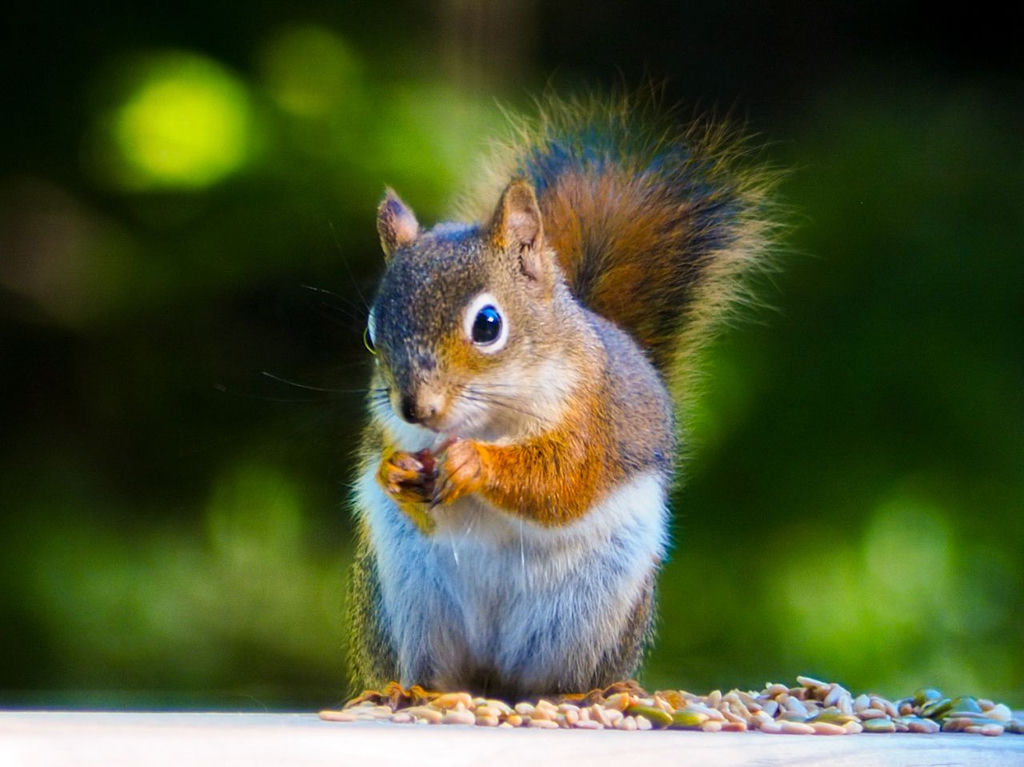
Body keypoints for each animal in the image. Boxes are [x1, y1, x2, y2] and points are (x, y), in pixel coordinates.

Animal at [346, 93, 778, 701]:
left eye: (488, 324)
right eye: (370, 335)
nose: (417, 409)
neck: (489, 419)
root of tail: (493, 681)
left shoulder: (591, 418)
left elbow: (563, 481)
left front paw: (472, 464)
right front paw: (394, 472)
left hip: (591, 610)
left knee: (556, 674)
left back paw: (585, 694)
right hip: (400, 599)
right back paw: (408, 691)